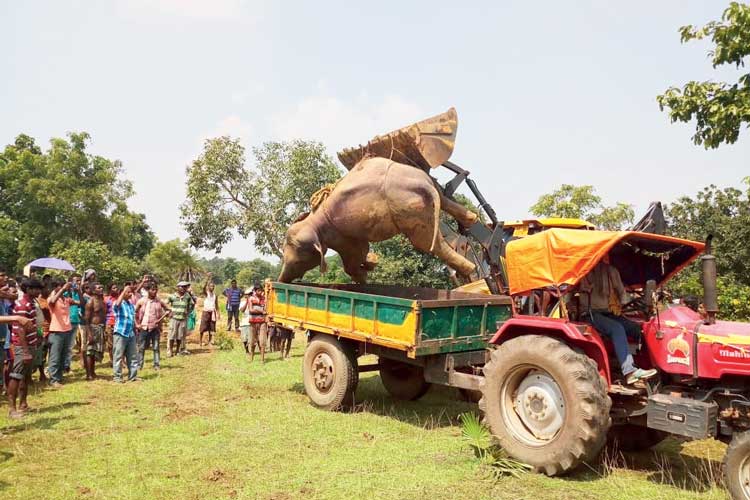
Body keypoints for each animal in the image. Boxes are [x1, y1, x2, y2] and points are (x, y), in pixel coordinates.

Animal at [278, 156, 478, 283]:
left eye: (299, 261)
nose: (280, 281)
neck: (316, 214)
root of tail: (421, 185)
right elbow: (362, 250)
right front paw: (371, 264)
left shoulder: (341, 236)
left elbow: (354, 257)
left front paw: (364, 276)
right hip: (424, 189)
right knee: (443, 199)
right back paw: (471, 220)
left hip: (412, 212)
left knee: (430, 243)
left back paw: (469, 270)